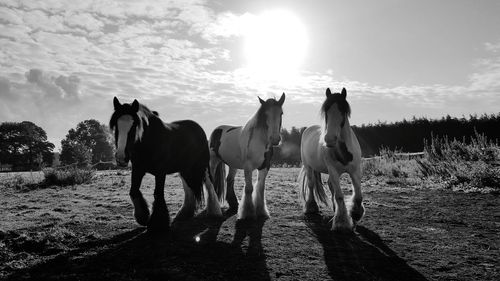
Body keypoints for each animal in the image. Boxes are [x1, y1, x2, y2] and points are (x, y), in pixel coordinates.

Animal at [110, 97, 222, 231]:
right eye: (116, 125)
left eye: (134, 126)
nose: (121, 157)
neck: (150, 140)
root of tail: (199, 129)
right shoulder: (138, 169)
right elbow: (133, 191)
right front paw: (142, 217)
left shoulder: (160, 172)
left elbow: (158, 194)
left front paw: (157, 224)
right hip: (184, 169)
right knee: (188, 188)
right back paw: (184, 213)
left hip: (201, 167)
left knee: (209, 184)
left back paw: (215, 212)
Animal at [296, 88, 364, 232]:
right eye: (326, 111)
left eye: (343, 111)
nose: (329, 139)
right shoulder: (333, 170)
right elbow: (339, 195)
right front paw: (342, 223)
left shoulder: (355, 170)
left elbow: (358, 195)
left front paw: (355, 214)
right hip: (309, 166)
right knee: (311, 184)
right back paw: (311, 207)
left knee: (330, 185)